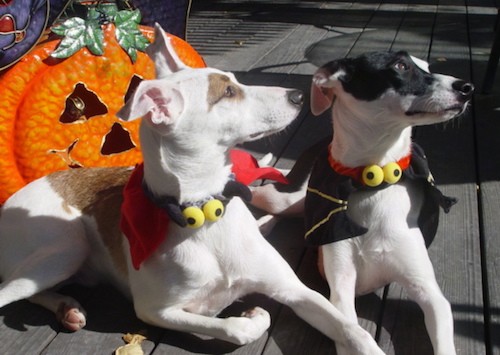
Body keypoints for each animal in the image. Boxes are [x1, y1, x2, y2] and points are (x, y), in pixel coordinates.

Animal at [0, 25, 382, 355]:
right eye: (227, 92)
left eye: (234, 82)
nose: (299, 94)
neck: (206, 211)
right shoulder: (154, 310)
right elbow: (233, 327)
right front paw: (250, 317)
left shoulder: (294, 289)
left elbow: (352, 329)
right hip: (66, 247)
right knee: (10, 291)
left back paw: (66, 306)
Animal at [252, 50, 474, 355]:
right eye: (401, 66)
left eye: (427, 66)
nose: (467, 88)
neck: (373, 180)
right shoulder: (341, 291)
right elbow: (356, 337)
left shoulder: (430, 294)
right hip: (283, 198)